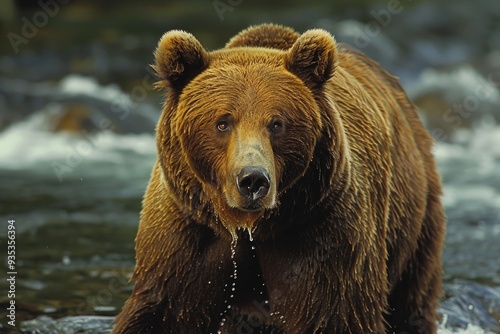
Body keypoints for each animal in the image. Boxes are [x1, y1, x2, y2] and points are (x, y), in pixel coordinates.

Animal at [113, 24, 446, 334]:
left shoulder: (321, 229)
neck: (250, 226)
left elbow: (333, 313)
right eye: (222, 122)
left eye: (276, 123)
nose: (252, 180)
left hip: (414, 220)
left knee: (411, 299)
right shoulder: (188, 231)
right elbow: (164, 309)